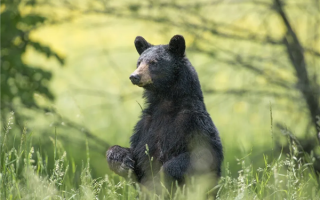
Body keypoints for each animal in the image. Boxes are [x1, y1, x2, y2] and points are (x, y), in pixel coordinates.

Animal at [106, 34, 224, 191]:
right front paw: (122, 161)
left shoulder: (194, 122)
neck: (165, 104)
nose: (134, 76)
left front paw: (162, 177)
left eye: (153, 62)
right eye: (139, 62)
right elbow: (137, 153)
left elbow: (203, 154)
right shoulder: (145, 126)